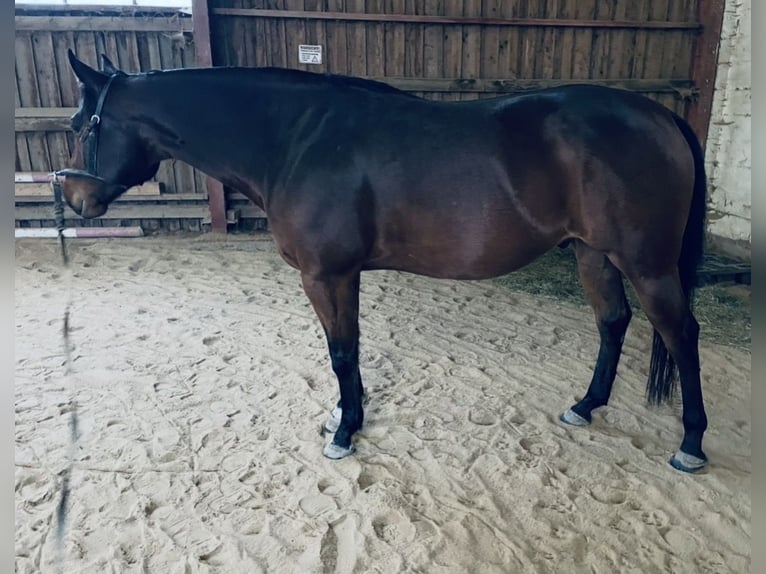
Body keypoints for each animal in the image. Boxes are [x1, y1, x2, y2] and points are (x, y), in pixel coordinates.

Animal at [59, 49, 709, 472]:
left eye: (82, 125)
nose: (75, 200)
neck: (294, 138)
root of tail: (660, 116)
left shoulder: (327, 275)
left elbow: (343, 351)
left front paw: (345, 430)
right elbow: (344, 351)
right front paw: (342, 415)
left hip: (647, 263)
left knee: (681, 333)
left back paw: (691, 444)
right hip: (594, 254)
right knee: (613, 322)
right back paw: (585, 406)